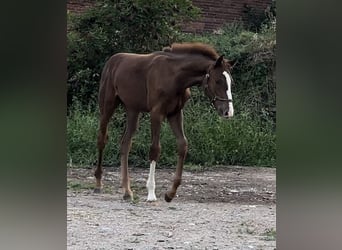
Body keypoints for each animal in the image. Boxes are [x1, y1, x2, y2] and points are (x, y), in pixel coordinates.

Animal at [93, 43, 234, 202]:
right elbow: (155, 149)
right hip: (107, 106)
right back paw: (98, 183)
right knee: (102, 139)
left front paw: (170, 193)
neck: (175, 76)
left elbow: (183, 145)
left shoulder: (175, 113)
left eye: (231, 82)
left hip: (132, 110)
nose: (228, 112)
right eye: (218, 81)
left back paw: (127, 191)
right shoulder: (156, 113)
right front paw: (151, 193)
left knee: (125, 143)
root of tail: (112, 61)